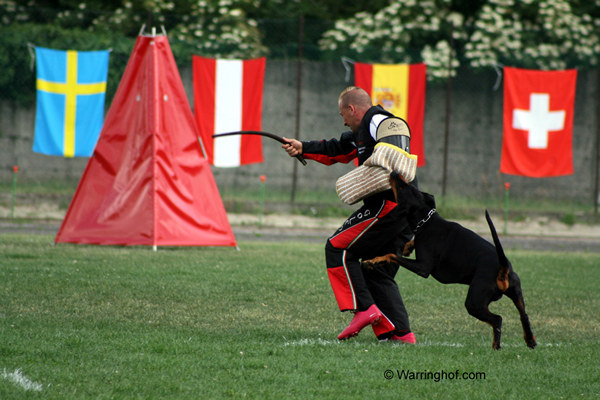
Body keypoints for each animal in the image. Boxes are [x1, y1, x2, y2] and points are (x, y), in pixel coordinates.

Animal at [364, 172, 536, 350]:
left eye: (403, 187)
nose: (394, 173)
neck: (426, 221)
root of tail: (503, 268)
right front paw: (407, 246)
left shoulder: (423, 268)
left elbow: (392, 255)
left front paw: (374, 260)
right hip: (516, 292)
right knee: (524, 315)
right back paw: (530, 340)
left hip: (474, 301)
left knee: (498, 319)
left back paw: (496, 346)